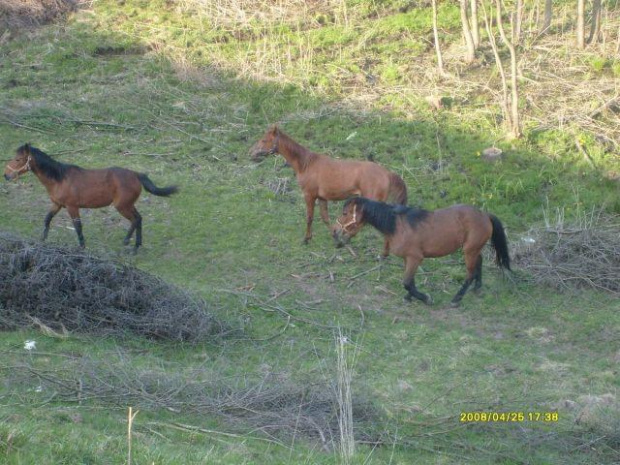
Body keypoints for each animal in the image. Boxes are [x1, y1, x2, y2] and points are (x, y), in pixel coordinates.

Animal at [4, 143, 178, 250]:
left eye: (18, 159)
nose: (6, 175)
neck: (59, 179)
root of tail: (136, 174)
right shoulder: (57, 204)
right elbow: (47, 219)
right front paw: (42, 239)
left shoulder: (72, 207)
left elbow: (78, 227)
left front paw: (82, 246)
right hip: (128, 205)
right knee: (139, 219)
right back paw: (136, 246)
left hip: (122, 206)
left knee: (135, 220)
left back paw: (128, 243)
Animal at [249, 124, 410, 254]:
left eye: (264, 140)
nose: (251, 153)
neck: (306, 164)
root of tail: (387, 173)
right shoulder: (322, 198)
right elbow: (325, 218)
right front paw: (334, 234)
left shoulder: (309, 195)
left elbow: (309, 217)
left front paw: (307, 239)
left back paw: (347, 241)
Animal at [332, 198, 512, 306]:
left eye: (345, 213)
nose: (334, 231)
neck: (397, 225)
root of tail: (484, 215)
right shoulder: (408, 259)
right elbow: (410, 281)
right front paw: (410, 297)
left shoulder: (415, 258)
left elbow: (406, 282)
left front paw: (425, 298)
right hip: (472, 249)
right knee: (479, 263)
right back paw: (477, 288)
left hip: (469, 251)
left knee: (470, 273)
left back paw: (457, 298)